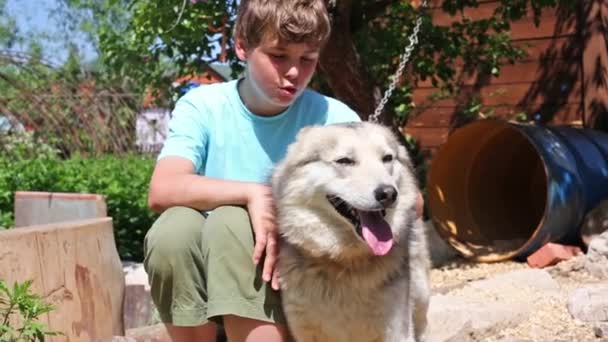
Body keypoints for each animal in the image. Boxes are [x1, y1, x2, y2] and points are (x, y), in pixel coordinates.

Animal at [270, 121, 432, 342]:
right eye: (345, 161)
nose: (388, 193)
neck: (345, 262)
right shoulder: (303, 330)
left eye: (387, 158)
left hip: (420, 293)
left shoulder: (397, 329)